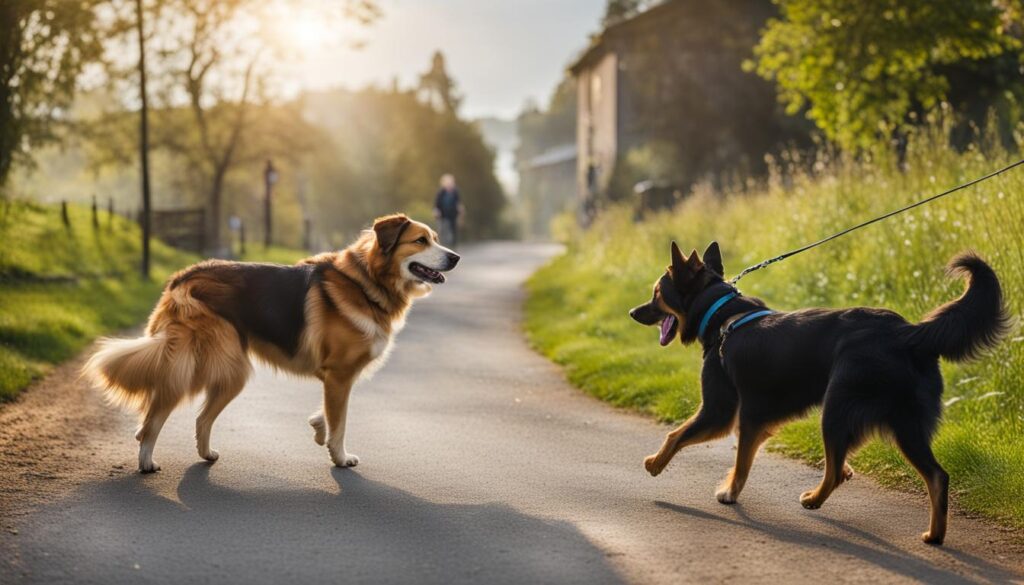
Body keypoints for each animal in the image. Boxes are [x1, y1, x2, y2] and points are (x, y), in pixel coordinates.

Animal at [81, 214, 458, 471]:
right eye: (420, 241)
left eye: (435, 238)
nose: (455, 257)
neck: (367, 281)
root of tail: (181, 278)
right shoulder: (338, 375)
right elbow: (340, 422)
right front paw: (339, 456)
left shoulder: (335, 378)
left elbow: (329, 414)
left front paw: (318, 428)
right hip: (207, 367)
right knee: (156, 416)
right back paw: (146, 460)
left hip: (226, 371)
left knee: (200, 419)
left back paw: (205, 454)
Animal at [630, 241, 1007, 545]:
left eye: (656, 293)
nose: (633, 312)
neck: (722, 313)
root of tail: (908, 332)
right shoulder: (748, 419)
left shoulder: (723, 413)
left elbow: (683, 437)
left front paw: (661, 466)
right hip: (904, 422)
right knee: (929, 475)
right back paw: (935, 533)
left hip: (838, 408)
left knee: (847, 470)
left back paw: (814, 499)